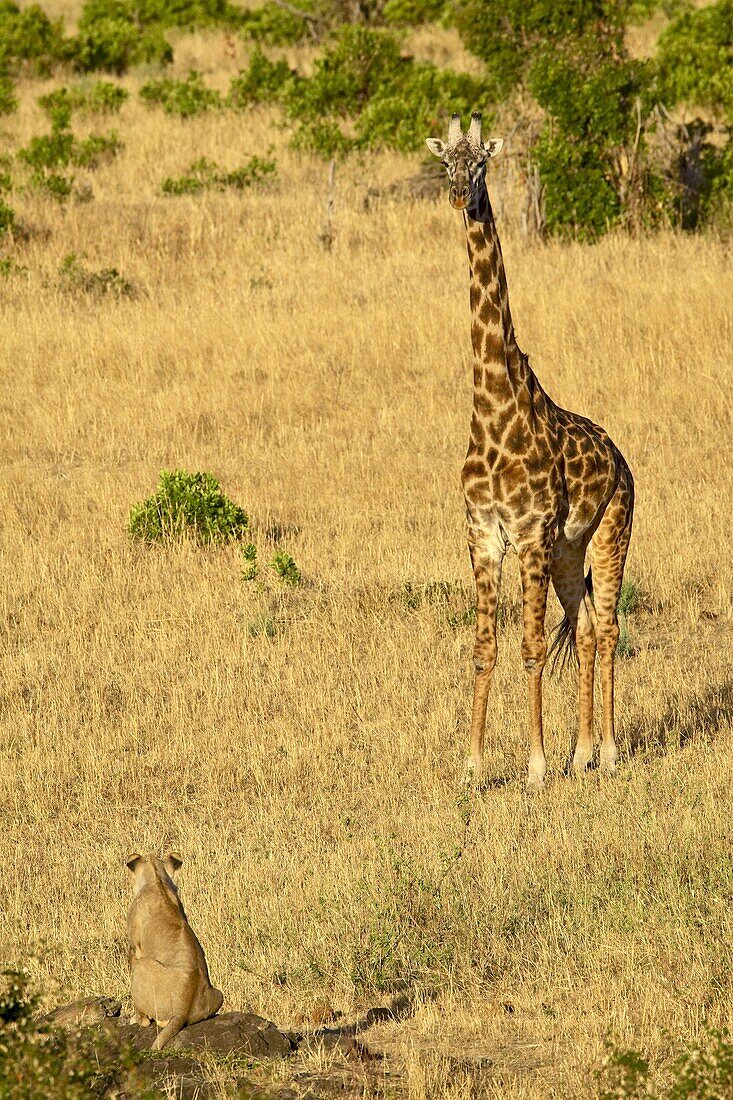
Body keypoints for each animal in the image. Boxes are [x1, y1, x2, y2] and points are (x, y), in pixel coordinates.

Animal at [424, 116, 629, 792]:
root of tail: (622, 458)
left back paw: (608, 752)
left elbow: (532, 648)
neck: (493, 409)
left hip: (610, 533)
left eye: (482, 163)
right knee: (586, 627)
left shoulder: (531, 531)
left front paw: (535, 767)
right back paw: (581, 753)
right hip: (570, 550)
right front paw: (472, 766)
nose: (459, 197)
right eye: (445, 163)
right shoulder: (484, 532)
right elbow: (485, 647)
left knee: (609, 626)